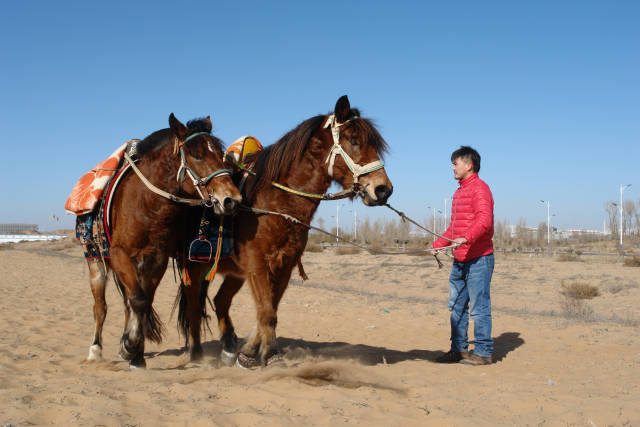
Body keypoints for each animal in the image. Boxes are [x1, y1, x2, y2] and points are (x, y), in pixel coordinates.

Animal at [86, 113, 241, 368]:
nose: (231, 199)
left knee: (130, 302)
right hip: (95, 260)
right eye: (197, 155)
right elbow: (137, 302)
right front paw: (131, 347)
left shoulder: (156, 260)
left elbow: (143, 302)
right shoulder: (119, 255)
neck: (146, 205)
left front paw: (134, 352)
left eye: (221, 154)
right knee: (100, 307)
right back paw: (95, 350)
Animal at [178, 96, 392, 368]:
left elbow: (269, 309)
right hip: (194, 269)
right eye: (354, 140)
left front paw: (249, 352)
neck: (275, 204)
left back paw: (228, 348)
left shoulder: (283, 266)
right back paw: (197, 354)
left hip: (235, 273)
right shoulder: (258, 265)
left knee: (220, 301)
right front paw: (270, 354)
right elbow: (267, 312)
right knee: (194, 308)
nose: (383, 189)